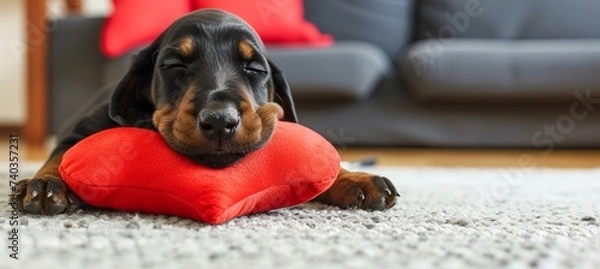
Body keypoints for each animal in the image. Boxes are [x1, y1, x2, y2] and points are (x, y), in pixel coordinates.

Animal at [12, 9, 398, 216]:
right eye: (174, 65)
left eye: (254, 68)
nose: (220, 122)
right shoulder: (78, 131)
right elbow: (60, 155)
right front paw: (46, 184)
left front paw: (353, 178)